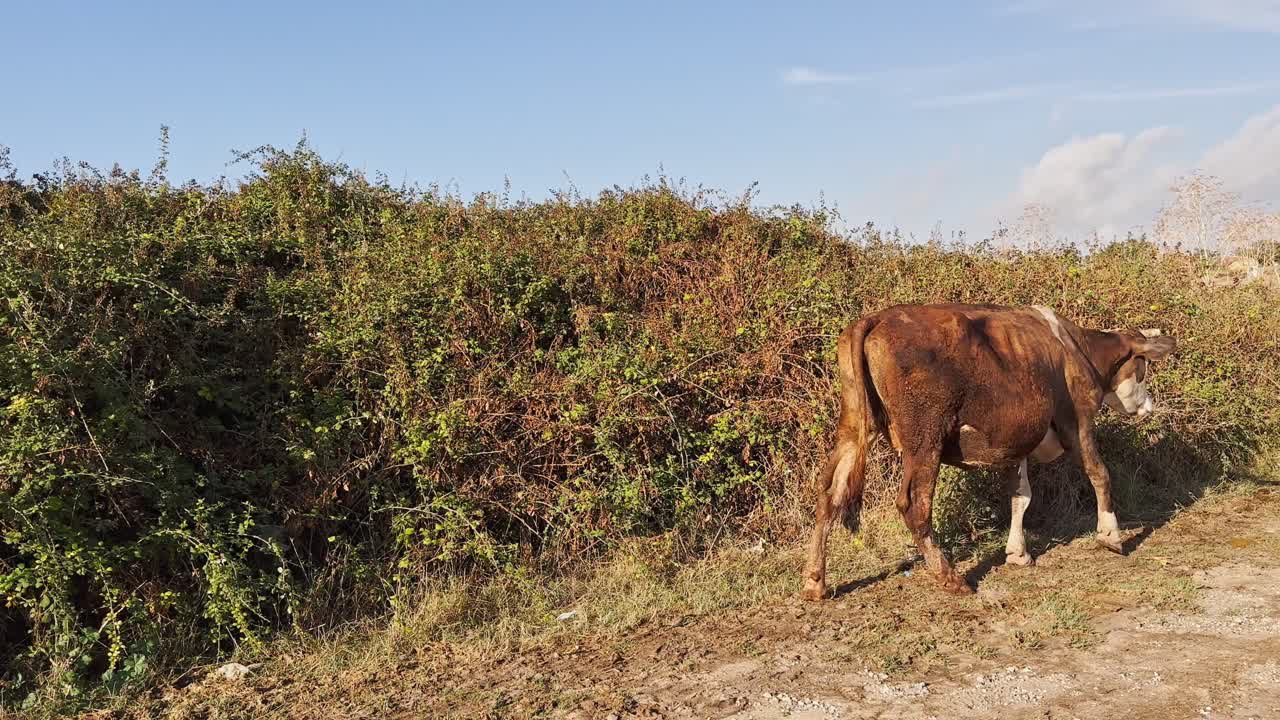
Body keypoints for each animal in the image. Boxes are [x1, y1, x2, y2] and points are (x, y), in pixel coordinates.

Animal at [802, 303, 1176, 600]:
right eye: (1143, 367)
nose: (1149, 406)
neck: (1076, 349)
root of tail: (876, 318)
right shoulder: (1077, 420)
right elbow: (1099, 473)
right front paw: (1111, 536)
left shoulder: (1019, 441)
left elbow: (1020, 496)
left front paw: (1018, 553)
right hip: (925, 437)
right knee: (914, 503)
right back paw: (950, 577)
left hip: (853, 426)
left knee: (829, 493)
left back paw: (815, 582)